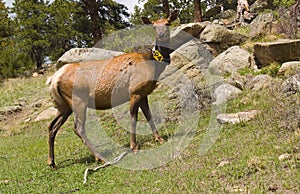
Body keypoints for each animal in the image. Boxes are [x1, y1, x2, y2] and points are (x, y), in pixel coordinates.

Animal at [46, 10, 178, 169]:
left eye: (167, 23)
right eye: (153, 26)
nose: (161, 34)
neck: (153, 65)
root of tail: (54, 80)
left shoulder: (143, 93)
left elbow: (149, 116)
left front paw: (159, 139)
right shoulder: (135, 92)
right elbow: (133, 118)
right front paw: (134, 146)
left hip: (63, 106)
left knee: (51, 126)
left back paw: (52, 162)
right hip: (77, 100)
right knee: (78, 128)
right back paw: (100, 157)